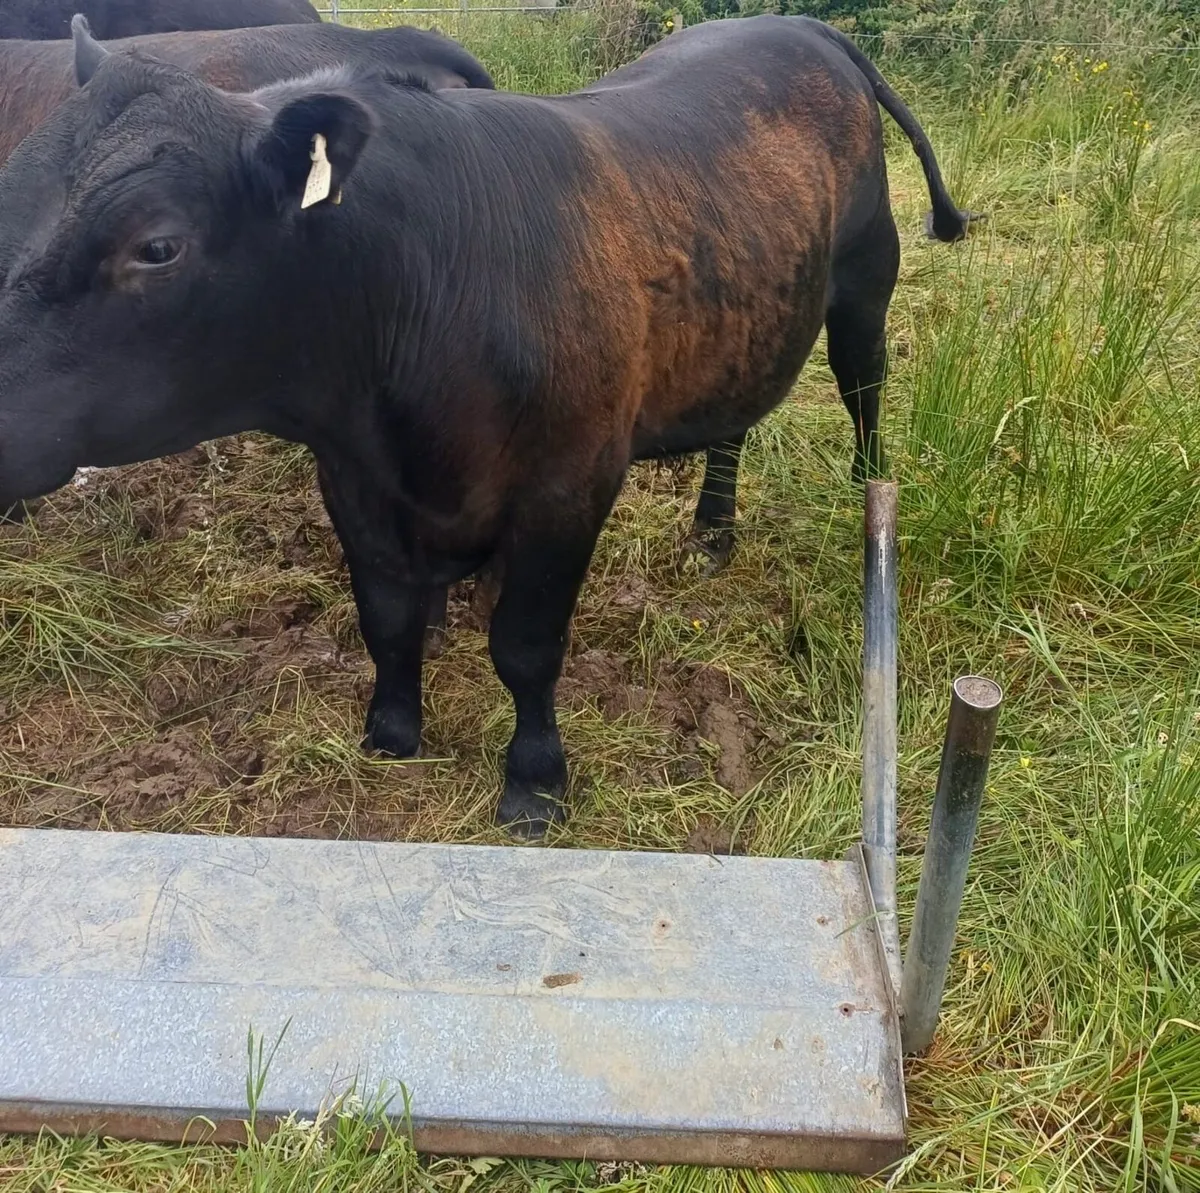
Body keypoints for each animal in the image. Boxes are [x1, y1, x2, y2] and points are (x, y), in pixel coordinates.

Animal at [0, 15, 973, 835]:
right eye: (12, 196)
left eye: (157, 246)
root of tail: (799, 25)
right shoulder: (353, 481)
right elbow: (387, 617)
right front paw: (392, 729)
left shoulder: (568, 486)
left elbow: (527, 646)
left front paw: (535, 780)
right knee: (734, 421)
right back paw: (711, 529)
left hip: (866, 279)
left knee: (864, 391)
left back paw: (863, 504)